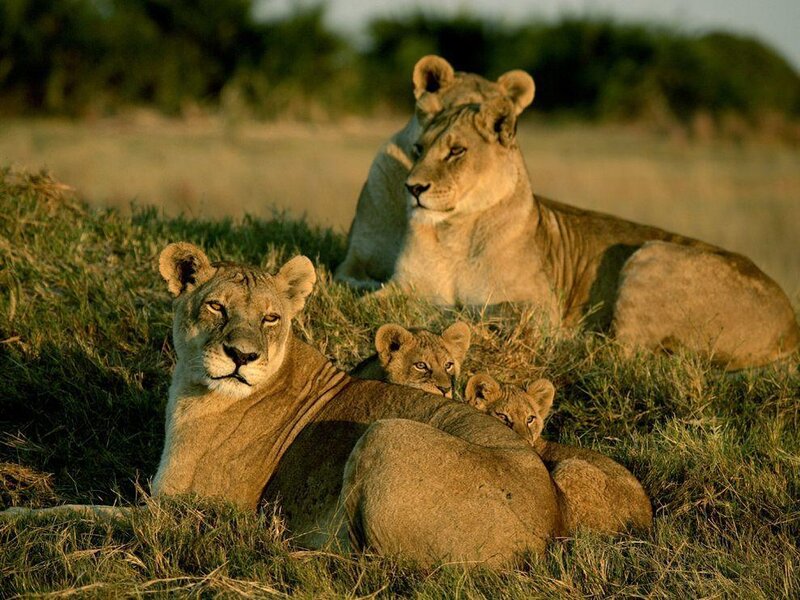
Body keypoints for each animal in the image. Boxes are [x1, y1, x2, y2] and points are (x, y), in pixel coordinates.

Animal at [386, 94, 800, 369]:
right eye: (418, 148)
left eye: (457, 151)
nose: (412, 188)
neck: (452, 232)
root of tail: (791, 323)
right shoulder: (400, 286)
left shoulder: (540, 309)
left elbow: (491, 312)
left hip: (652, 254)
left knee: (622, 354)